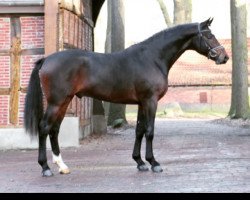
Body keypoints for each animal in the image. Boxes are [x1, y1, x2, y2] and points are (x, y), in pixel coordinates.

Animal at [24, 19, 229, 177]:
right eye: (209, 35)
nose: (224, 57)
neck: (152, 58)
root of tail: (46, 59)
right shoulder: (150, 101)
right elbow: (150, 131)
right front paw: (154, 163)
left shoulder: (141, 103)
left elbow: (139, 130)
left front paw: (140, 162)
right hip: (56, 102)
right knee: (44, 128)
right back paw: (45, 167)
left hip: (65, 101)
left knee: (54, 130)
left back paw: (62, 166)